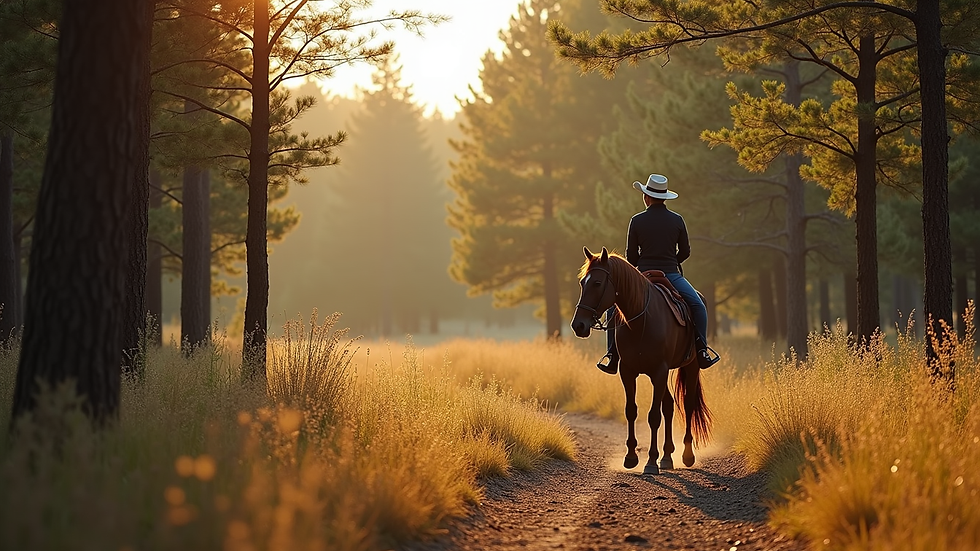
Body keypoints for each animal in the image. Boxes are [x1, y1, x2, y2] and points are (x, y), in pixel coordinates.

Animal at [570, 246, 711, 475]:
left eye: (597, 283)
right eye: (583, 282)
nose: (578, 325)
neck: (641, 321)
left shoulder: (659, 372)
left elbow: (653, 416)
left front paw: (651, 461)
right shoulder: (628, 372)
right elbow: (631, 411)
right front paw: (631, 457)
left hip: (691, 367)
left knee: (688, 404)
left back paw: (687, 455)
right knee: (669, 406)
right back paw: (667, 456)